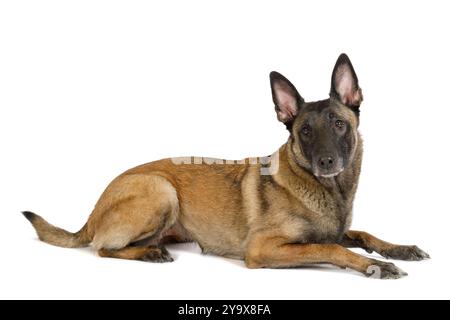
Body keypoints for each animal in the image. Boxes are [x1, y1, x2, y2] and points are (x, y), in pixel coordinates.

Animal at [23, 54, 428, 278]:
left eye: (339, 124)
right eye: (305, 131)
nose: (326, 161)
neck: (328, 190)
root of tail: (94, 209)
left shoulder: (335, 230)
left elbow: (361, 234)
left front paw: (399, 248)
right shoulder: (265, 248)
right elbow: (333, 250)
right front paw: (374, 266)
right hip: (161, 190)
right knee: (102, 248)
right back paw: (148, 253)